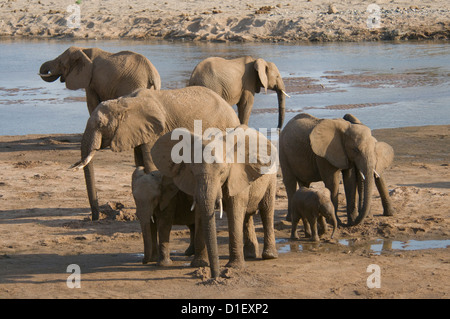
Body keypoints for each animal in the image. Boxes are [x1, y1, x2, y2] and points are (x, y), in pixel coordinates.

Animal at [69, 87, 239, 222]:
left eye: (100, 125)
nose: (95, 218)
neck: (125, 102)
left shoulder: (154, 132)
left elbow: (149, 162)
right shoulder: (138, 132)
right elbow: (139, 163)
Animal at [151, 125, 278, 280]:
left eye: (222, 171)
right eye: (192, 172)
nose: (215, 276)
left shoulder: (237, 174)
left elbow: (235, 210)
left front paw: (234, 267)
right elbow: (200, 212)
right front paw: (199, 264)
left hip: (271, 175)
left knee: (266, 209)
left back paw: (269, 256)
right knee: (247, 216)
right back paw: (249, 255)